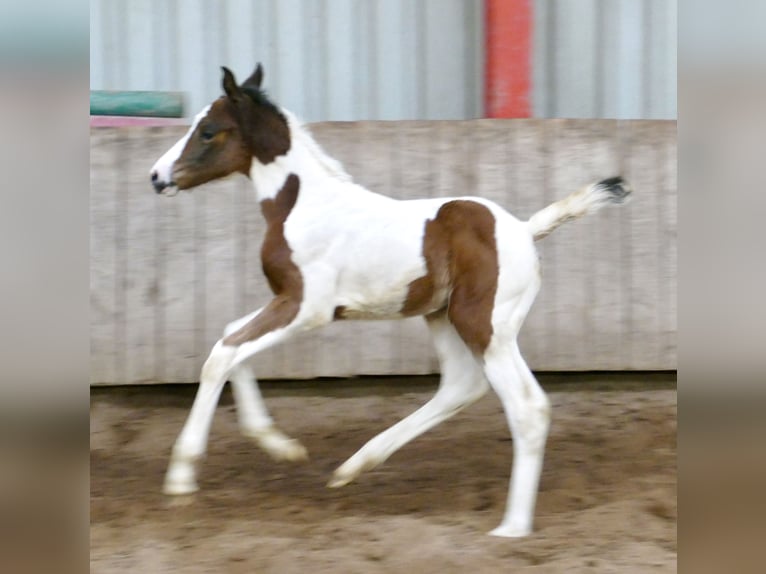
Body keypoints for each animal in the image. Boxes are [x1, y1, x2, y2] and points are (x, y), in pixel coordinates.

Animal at [150, 63, 630, 537]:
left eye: (208, 131)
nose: (157, 177)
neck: (302, 206)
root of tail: (526, 230)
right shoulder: (289, 301)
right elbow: (232, 338)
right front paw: (281, 446)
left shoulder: (307, 308)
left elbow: (221, 354)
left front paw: (181, 477)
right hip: (442, 316)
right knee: (460, 385)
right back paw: (353, 467)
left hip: (484, 325)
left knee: (528, 407)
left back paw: (511, 527)